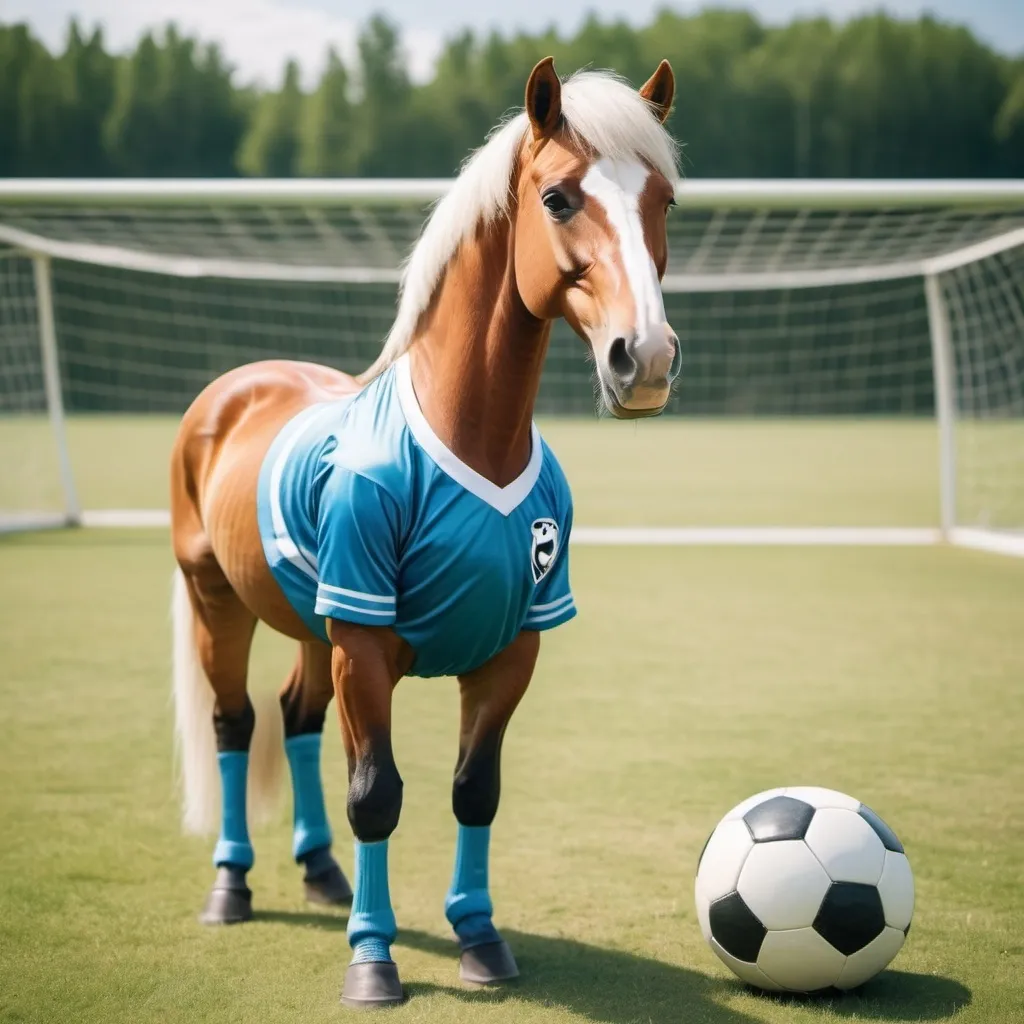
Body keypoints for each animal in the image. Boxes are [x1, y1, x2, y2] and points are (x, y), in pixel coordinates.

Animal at [169, 58, 679, 1007]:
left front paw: (479, 937)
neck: (467, 428)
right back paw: (233, 884)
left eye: (664, 198)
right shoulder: (366, 646)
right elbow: (377, 794)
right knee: (233, 724)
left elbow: (475, 790)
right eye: (557, 197)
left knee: (295, 718)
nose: (648, 358)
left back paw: (321, 871)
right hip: (220, 602)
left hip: (313, 627)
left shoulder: (513, 646)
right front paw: (373, 961)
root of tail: (237, 386)